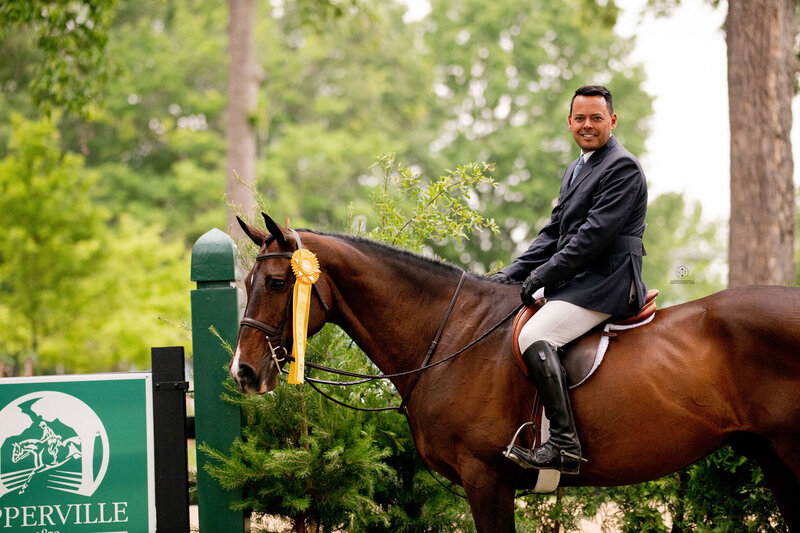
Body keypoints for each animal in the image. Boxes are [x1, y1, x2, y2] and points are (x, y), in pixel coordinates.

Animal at [230, 214, 800, 528]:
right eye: (247, 282)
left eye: (278, 282)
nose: (244, 373)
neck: (451, 333)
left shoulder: (486, 478)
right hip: (774, 458)